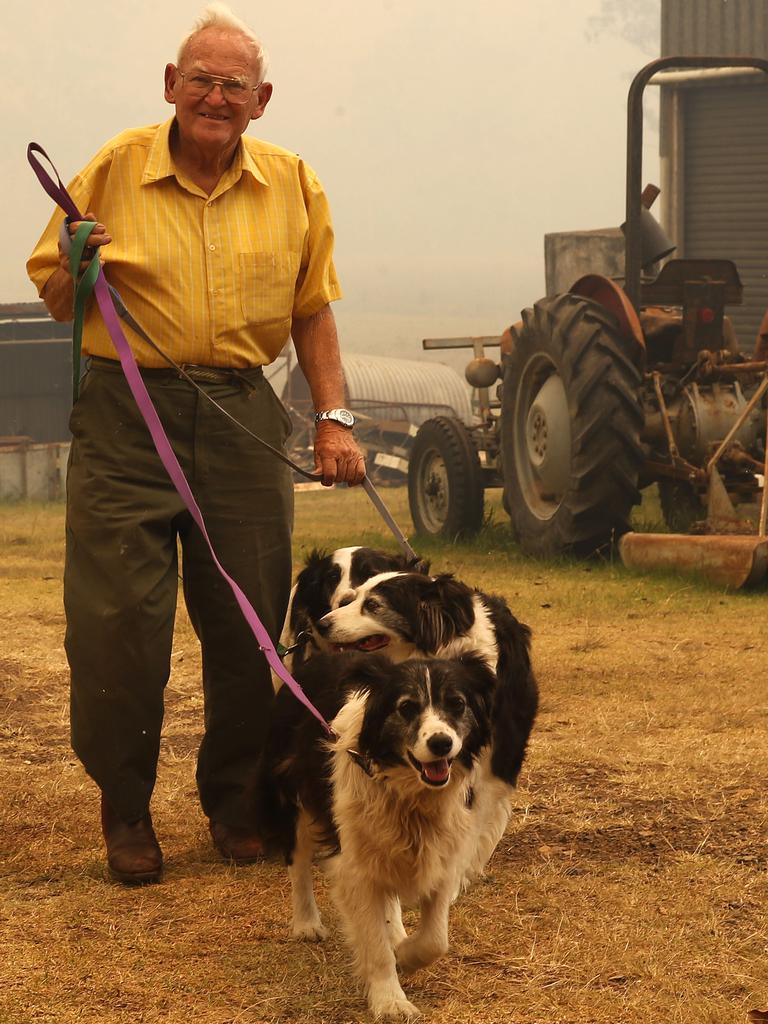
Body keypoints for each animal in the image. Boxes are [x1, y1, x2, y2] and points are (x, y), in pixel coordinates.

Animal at [257, 651, 499, 1019]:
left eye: (457, 704)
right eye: (407, 707)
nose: (441, 743)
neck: (408, 791)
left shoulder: (442, 849)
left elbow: (435, 939)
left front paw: (406, 955)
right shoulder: (354, 861)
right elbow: (374, 941)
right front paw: (390, 1000)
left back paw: (396, 932)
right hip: (295, 797)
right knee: (297, 863)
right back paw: (307, 923)